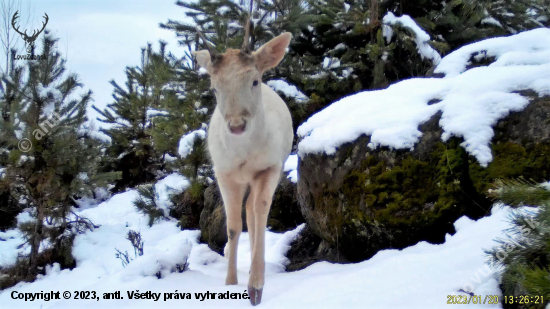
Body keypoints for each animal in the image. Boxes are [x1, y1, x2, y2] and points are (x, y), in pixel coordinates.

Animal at [196, 25, 296, 304]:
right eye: (214, 88)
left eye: (254, 81)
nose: (237, 125)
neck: (244, 156)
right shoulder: (224, 173)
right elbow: (231, 227)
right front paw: (230, 283)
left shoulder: (271, 166)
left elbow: (260, 213)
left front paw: (256, 288)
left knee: (252, 210)